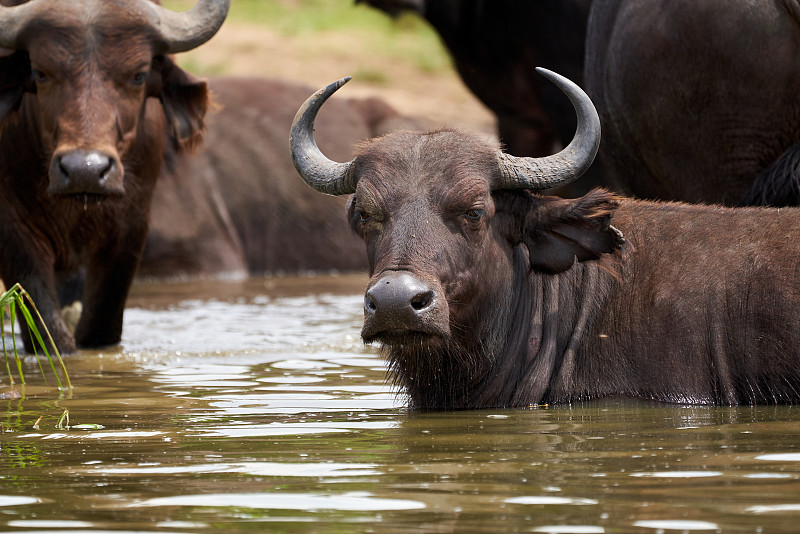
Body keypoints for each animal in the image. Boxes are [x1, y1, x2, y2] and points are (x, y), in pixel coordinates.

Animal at [0, 1, 228, 356]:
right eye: (41, 73)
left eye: (138, 75)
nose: (85, 170)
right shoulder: (13, 228)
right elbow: (46, 327)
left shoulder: (131, 226)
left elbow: (100, 324)